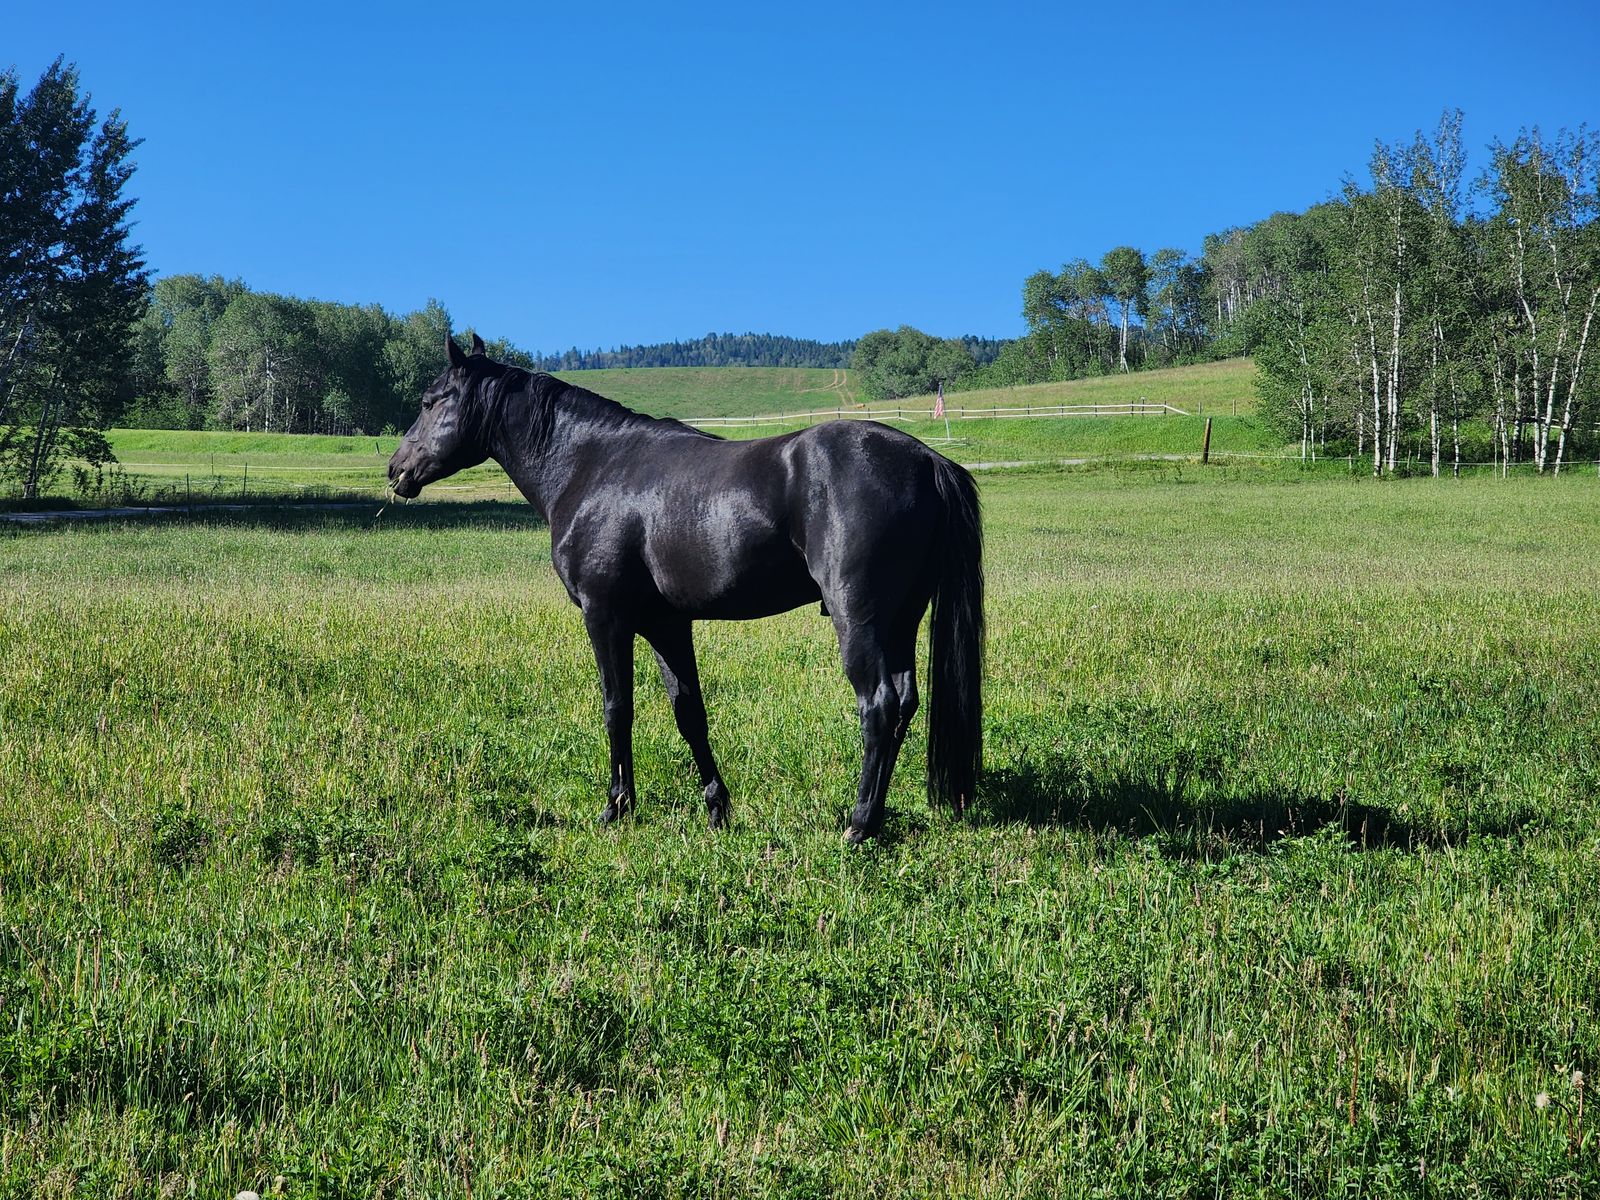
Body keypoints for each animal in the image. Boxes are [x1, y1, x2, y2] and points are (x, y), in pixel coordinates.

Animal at [388, 333, 983, 842]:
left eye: (430, 400)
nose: (397, 470)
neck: (592, 466)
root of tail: (927, 460)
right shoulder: (666, 624)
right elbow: (689, 713)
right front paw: (717, 808)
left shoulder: (605, 616)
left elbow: (617, 708)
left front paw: (617, 808)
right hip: (901, 621)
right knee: (904, 703)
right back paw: (874, 816)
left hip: (858, 619)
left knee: (879, 706)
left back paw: (858, 824)